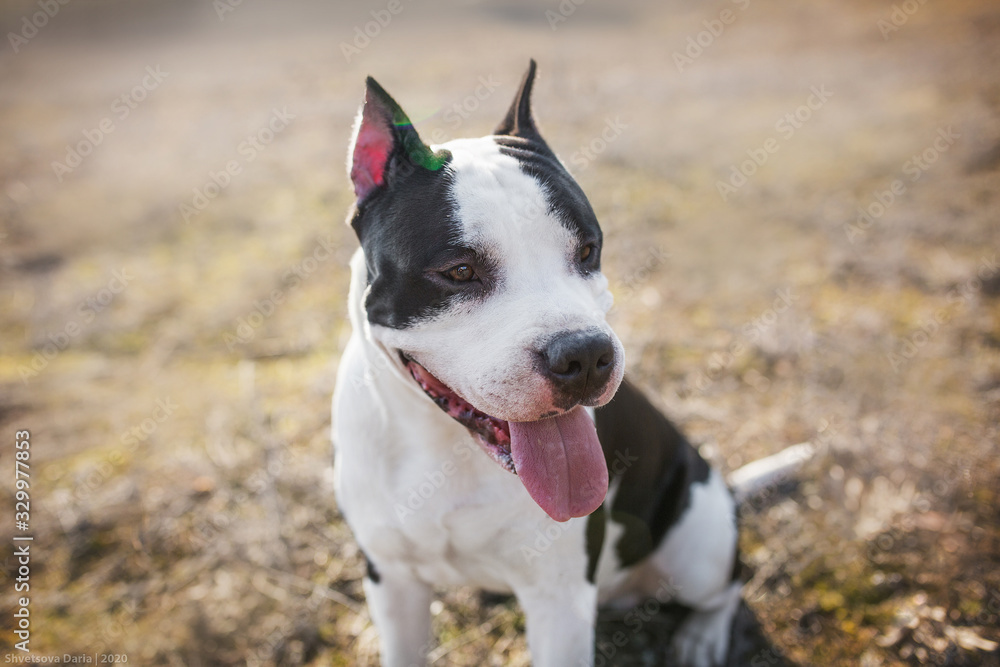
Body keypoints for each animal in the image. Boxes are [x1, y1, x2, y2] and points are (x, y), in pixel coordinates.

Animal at [334, 62, 796, 667]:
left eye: (587, 251)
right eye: (459, 271)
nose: (585, 355)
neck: (445, 449)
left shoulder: (560, 603)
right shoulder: (392, 582)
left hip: (699, 548)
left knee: (731, 582)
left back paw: (702, 635)